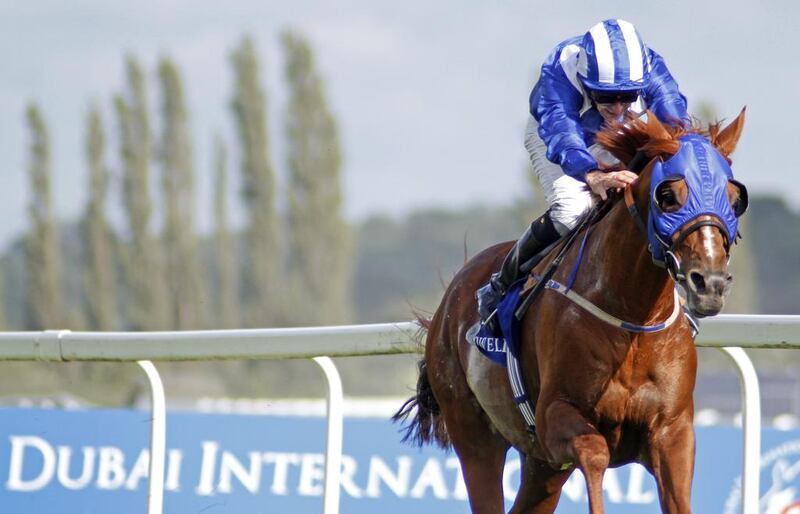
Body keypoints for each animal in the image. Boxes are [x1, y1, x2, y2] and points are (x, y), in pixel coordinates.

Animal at [394, 112, 752, 512]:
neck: (632, 318)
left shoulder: (672, 431)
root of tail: (446, 305)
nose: (710, 282)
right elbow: (594, 454)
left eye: (735, 198)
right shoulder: (555, 417)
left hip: (541, 466)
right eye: (668, 196)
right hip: (472, 431)